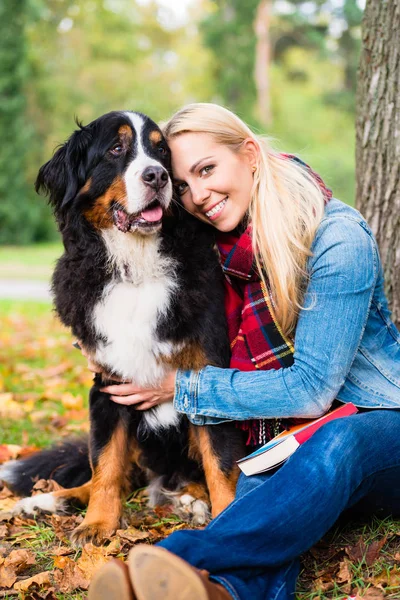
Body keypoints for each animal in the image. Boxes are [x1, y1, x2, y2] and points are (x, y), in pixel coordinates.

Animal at [0, 111, 244, 544]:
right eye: (116, 148)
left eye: (162, 151)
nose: (157, 176)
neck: (135, 268)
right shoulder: (109, 384)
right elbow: (106, 463)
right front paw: (98, 523)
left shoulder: (206, 372)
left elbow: (220, 461)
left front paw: (227, 516)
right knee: (120, 473)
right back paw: (46, 501)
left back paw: (191, 500)